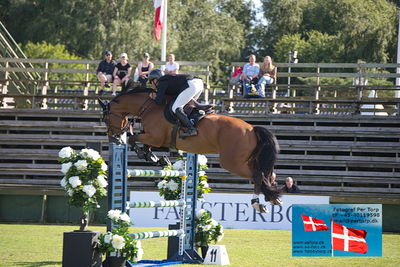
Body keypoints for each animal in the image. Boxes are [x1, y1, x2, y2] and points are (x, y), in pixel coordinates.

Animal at [99, 89, 282, 213]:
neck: (149, 107)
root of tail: (252, 129)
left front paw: (145, 154)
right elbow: (145, 146)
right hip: (246, 160)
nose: (113, 138)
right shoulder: (156, 139)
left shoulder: (155, 137)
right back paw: (270, 198)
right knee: (268, 175)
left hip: (232, 163)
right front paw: (155, 158)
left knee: (258, 175)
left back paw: (257, 203)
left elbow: (133, 139)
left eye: (106, 118)